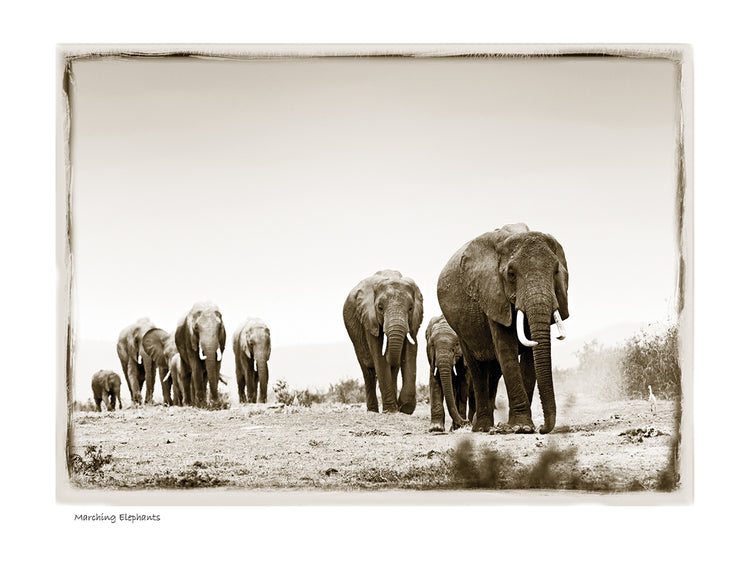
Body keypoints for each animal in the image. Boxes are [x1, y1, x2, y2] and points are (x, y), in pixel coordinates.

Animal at [343, 269, 424, 414]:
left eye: (410, 308)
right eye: (380, 308)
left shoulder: (414, 320)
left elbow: (410, 350)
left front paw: (404, 408)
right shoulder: (369, 319)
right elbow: (378, 356)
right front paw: (391, 410)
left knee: (393, 370)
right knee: (368, 371)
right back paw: (373, 411)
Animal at [437, 223, 569, 434]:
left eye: (556, 271)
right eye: (511, 274)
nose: (542, 428)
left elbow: (530, 355)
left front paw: (523, 427)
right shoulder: (492, 294)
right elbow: (506, 349)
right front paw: (522, 427)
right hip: (460, 330)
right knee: (476, 368)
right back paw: (481, 428)